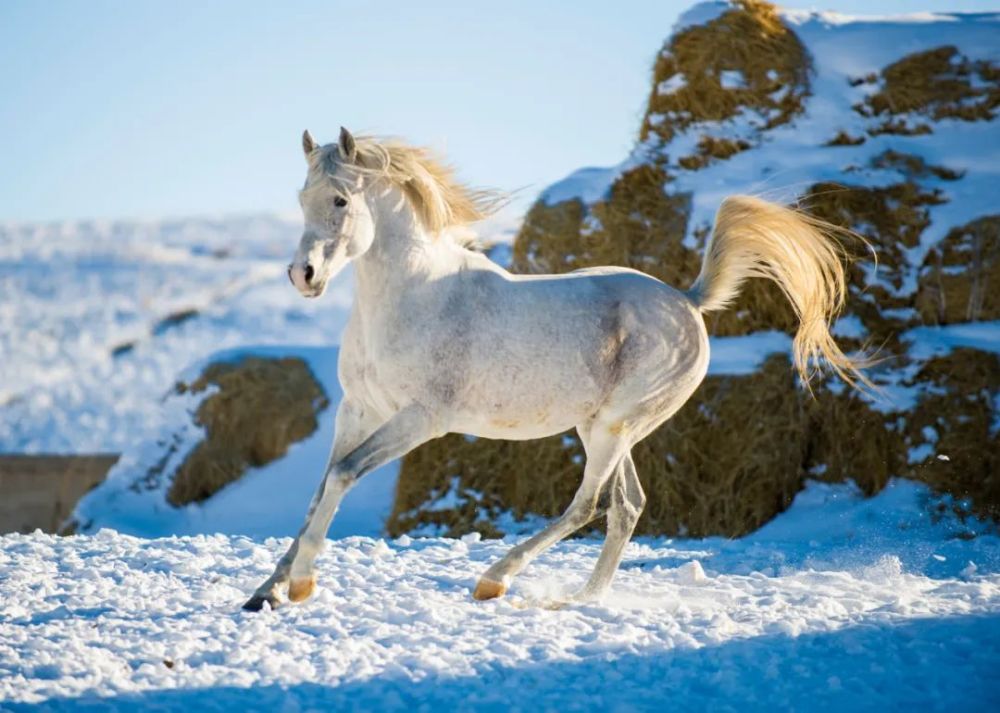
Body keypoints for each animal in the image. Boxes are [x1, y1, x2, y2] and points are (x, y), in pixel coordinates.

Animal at [242, 128, 868, 612]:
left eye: (341, 200)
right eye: (302, 197)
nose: (303, 275)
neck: (413, 297)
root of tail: (689, 301)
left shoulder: (421, 419)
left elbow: (344, 474)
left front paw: (301, 586)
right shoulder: (359, 409)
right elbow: (323, 486)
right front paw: (264, 594)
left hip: (615, 426)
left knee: (589, 505)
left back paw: (495, 581)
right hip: (604, 428)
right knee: (627, 505)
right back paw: (583, 598)